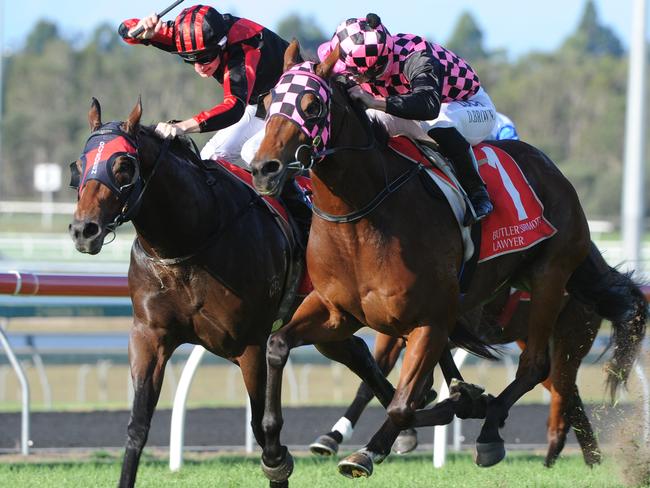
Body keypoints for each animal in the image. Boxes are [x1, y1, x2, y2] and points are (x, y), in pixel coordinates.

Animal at [248, 41, 644, 480]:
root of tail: (553, 170)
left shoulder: (430, 321)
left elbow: (402, 403)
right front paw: (274, 453)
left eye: (313, 105)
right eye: (267, 102)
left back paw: (492, 433)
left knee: (537, 367)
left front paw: (370, 449)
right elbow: (278, 345)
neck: (360, 218)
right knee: (557, 383)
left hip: (550, 280)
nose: (264, 169)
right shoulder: (338, 311)